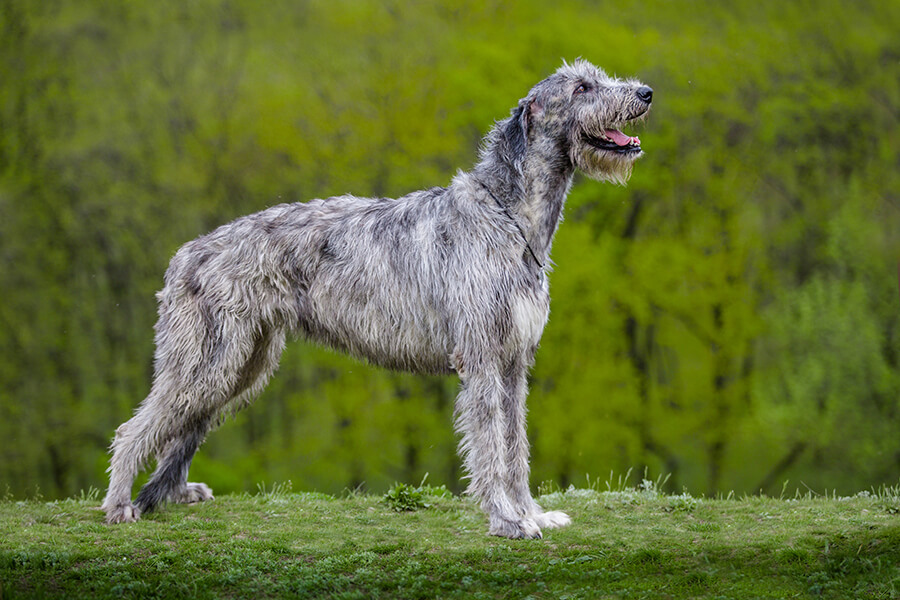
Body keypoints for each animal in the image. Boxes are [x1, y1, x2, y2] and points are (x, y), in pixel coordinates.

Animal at [103, 61, 652, 540]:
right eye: (581, 88)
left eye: (597, 77)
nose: (645, 93)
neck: (509, 217)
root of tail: (184, 255)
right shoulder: (480, 357)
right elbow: (491, 446)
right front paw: (507, 520)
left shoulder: (515, 359)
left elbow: (516, 444)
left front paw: (531, 512)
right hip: (209, 358)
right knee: (135, 427)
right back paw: (119, 505)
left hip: (243, 364)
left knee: (184, 424)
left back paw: (171, 493)